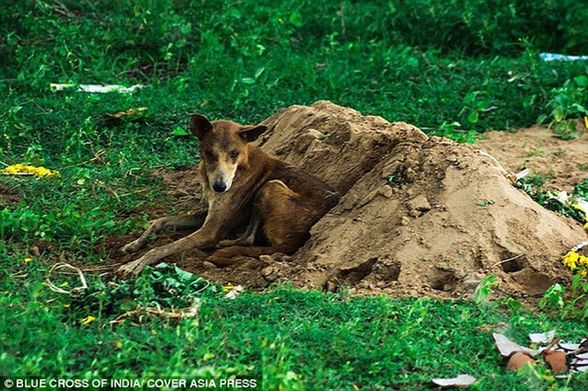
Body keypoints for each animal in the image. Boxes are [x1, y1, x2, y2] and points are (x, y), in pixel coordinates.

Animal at [117, 115, 338, 278]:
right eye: (209, 153)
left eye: (234, 153)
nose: (220, 187)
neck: (241, 168)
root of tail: (298, 242)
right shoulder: (209, 213)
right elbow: (160, 221)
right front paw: (134, 244)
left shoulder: (211, 231)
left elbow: (164, 248)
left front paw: (136, 264)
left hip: (270, 186)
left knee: (249, 240)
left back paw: (225, 245)